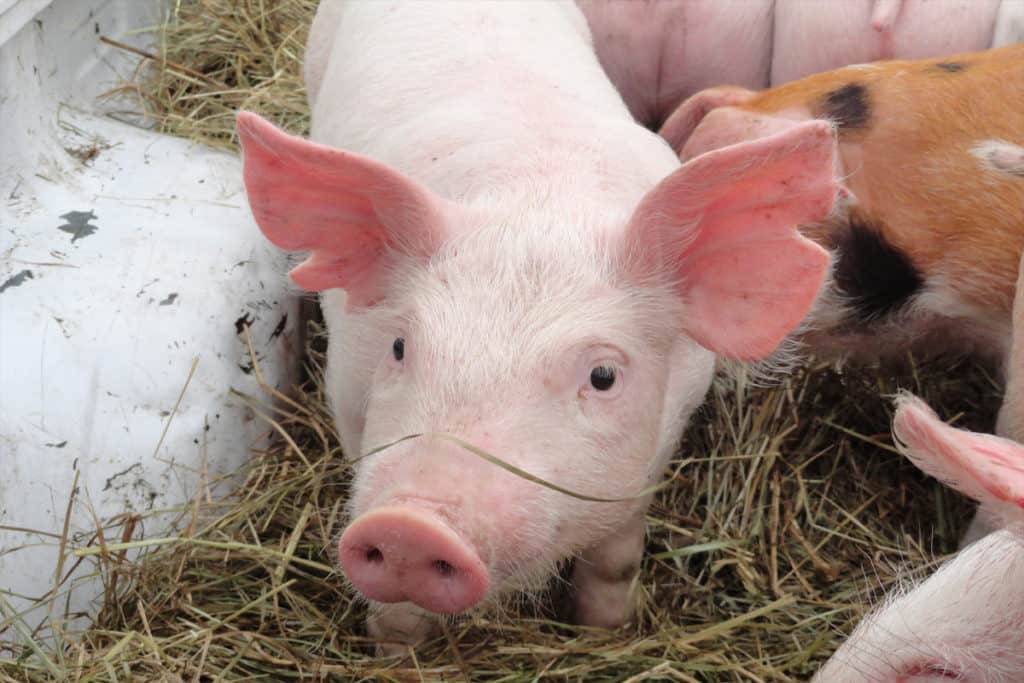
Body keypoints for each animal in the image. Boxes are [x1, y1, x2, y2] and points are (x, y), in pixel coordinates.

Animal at [236, 0, 839, 650]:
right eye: (399, 346)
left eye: (603, 376)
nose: (411, 526)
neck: (536, 205)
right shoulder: (347, 396)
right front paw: (394, 654)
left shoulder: (663, 435)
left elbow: (615, 559)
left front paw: (603, 634)